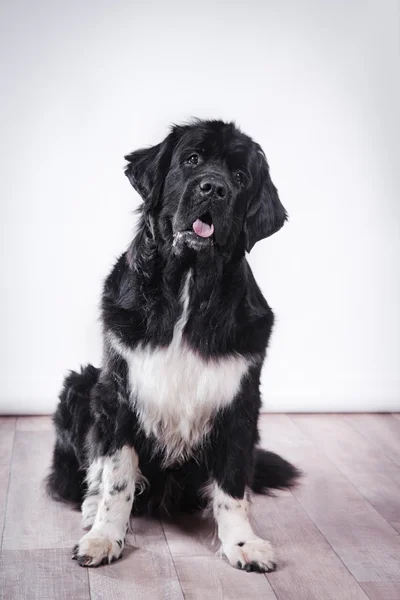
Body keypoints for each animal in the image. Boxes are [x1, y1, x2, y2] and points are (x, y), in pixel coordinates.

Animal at [47, 117, 300, 572]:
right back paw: (91, 511)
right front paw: (105, 537)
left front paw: (242, 543)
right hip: (82, 385)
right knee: (91, 473)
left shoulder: (240, 400)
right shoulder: (118, 392)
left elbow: (233, 484)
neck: (187, 284)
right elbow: (117, 477)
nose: (213, 188)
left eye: (240, 178)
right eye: (192, 159)